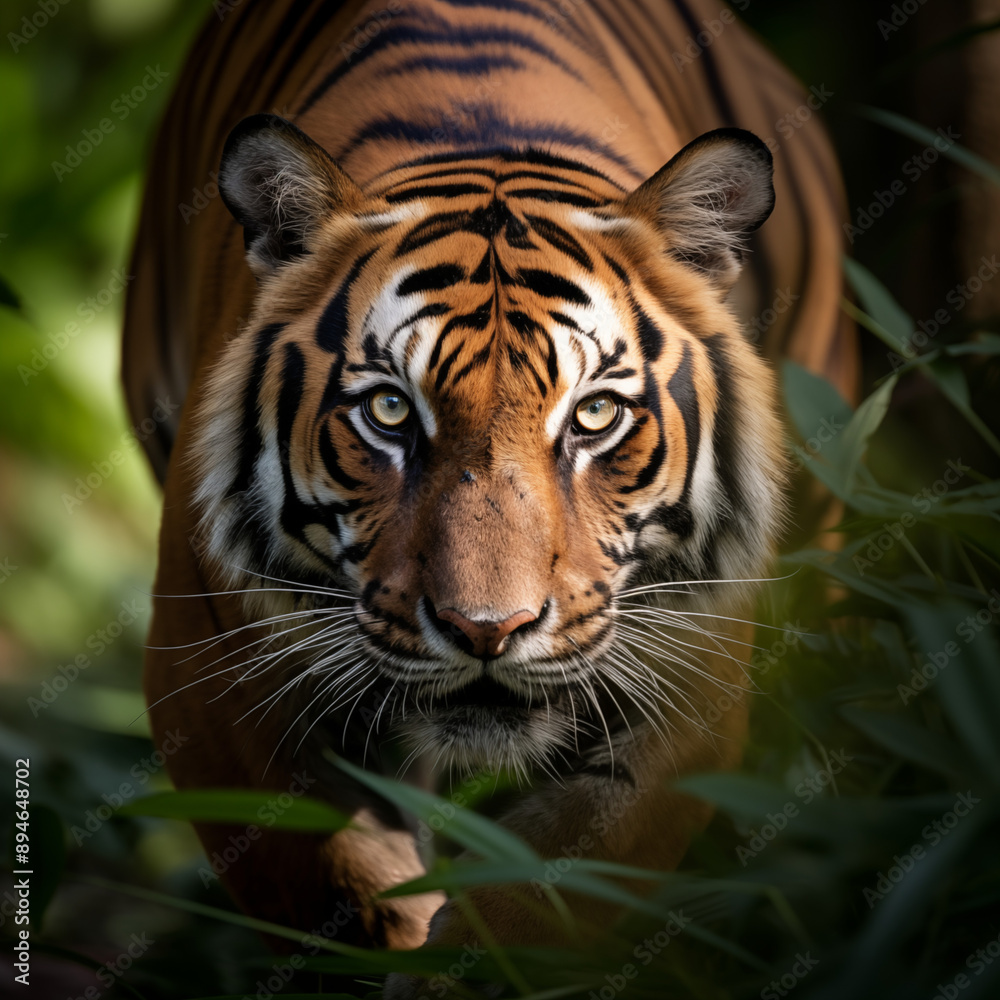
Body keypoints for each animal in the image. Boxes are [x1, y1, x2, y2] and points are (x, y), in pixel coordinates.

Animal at [121, 0, 856, 992]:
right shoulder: (209, 684)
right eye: (391, 410)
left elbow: (544, 904)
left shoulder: (691, 691)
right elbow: (338, 893)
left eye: (594, 415)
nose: (486, 631)